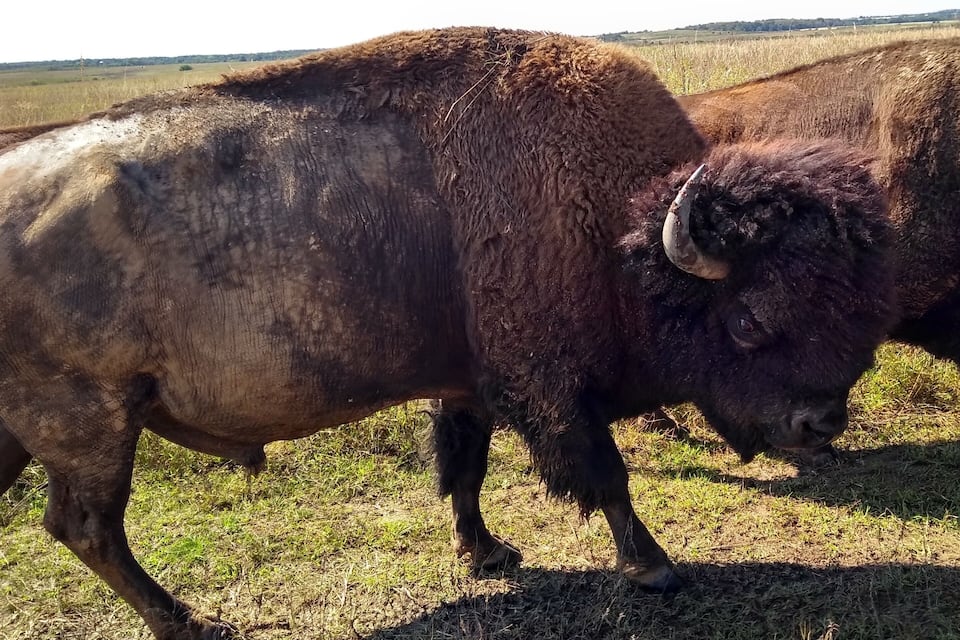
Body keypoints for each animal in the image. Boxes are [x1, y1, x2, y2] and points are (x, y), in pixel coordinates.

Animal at [0, 27, 895, 639]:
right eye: (747, 319)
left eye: (848, 302)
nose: (821, 423)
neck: (617, 228)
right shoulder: (549, 387)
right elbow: (605, 477)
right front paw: (653, 567)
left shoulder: (468, 385)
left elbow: (465, 470)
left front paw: (487, 553)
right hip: (91, 423)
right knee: (88, 526)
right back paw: (192, 622)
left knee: (78, 526)